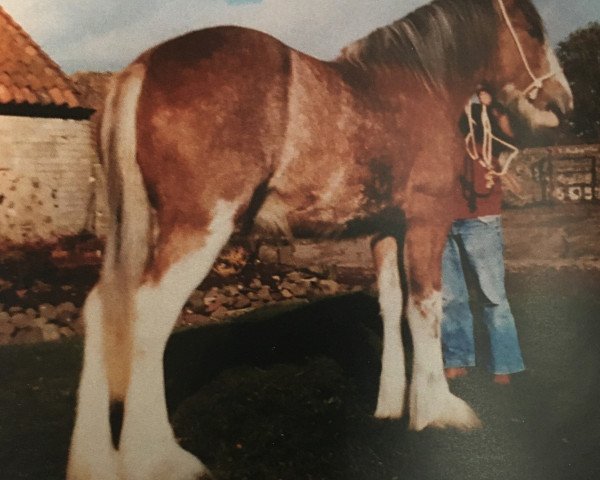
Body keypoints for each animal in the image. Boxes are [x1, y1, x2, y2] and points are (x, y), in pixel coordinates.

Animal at [67, 0, 572, 480]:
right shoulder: (426, 221)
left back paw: (93, 462)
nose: (563, 103)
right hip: (199, 227)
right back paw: (160, 459)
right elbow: (425, 307)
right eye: (531, 29)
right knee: (148, 314)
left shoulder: (385, 231)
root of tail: (144, 65)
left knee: (103, 310)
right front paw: (437, 410)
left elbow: (392, 306)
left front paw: (391, 405)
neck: (420, 86)